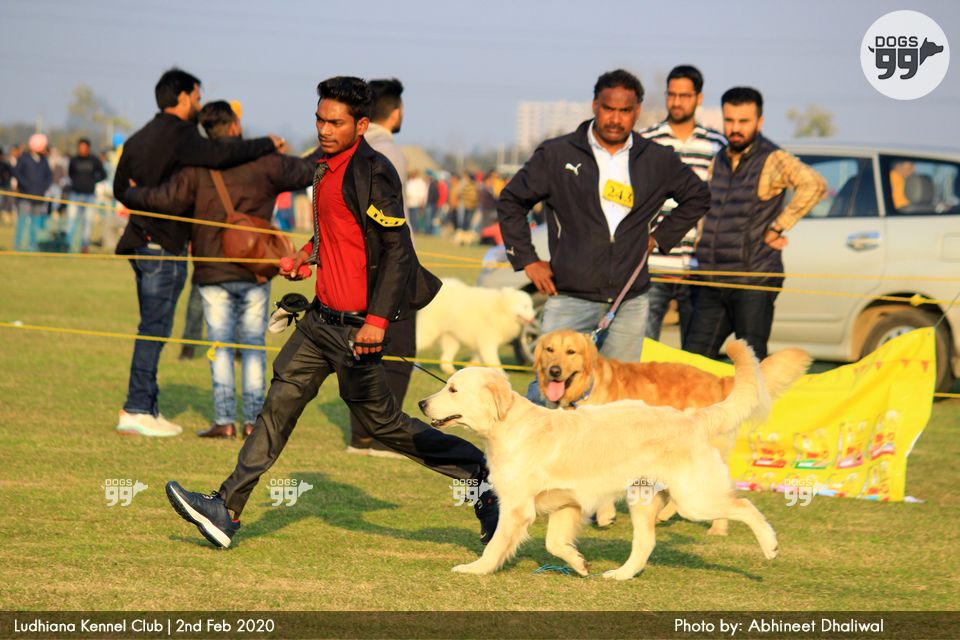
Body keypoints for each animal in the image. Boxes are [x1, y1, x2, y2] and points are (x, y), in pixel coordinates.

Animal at [419, 340, 781, 579]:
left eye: (453, 390)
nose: (422, 403)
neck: (509, 426)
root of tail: (691, 417)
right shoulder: (568, 503)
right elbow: (555, 543)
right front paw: (579, 563)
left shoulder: (519, 507)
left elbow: (495, 545)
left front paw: (476, 568)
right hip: (643, 499)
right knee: (645, 543)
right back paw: (620, 574)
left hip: (695, 499)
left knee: (745, 506)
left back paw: (771, 546)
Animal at [534, 329, 811, 532]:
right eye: (550, 350)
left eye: (571, 351)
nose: (554, 371)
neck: (587, 387)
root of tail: (721, 381)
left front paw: (605, 514)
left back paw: (713, 526)